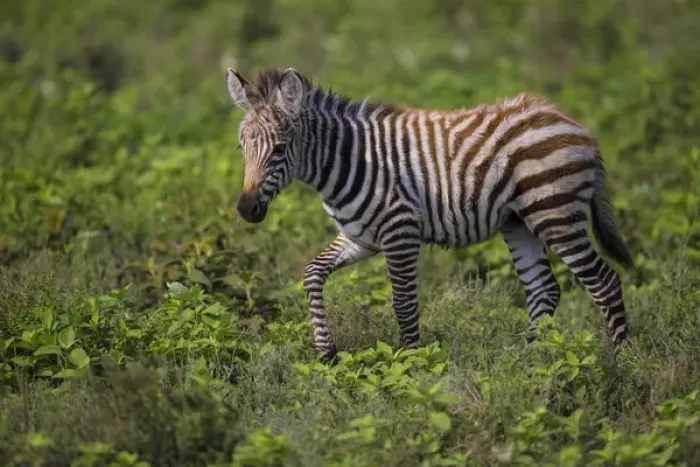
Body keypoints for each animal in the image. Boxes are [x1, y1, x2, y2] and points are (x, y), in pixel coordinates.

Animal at [225, 66, 634, 364]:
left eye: (280, 148)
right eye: (241, 147)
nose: (246, 210)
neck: (348, 160)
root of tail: (572, 122)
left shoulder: (400, 232)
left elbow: (404, 304)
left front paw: (412, 368)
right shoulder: (361, 238)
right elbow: (312, 273)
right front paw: (327, 353)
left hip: (555, 213)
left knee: (604, 283)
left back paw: (622, 363)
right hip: (520, 222)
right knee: (543, 290)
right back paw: (531, 364)